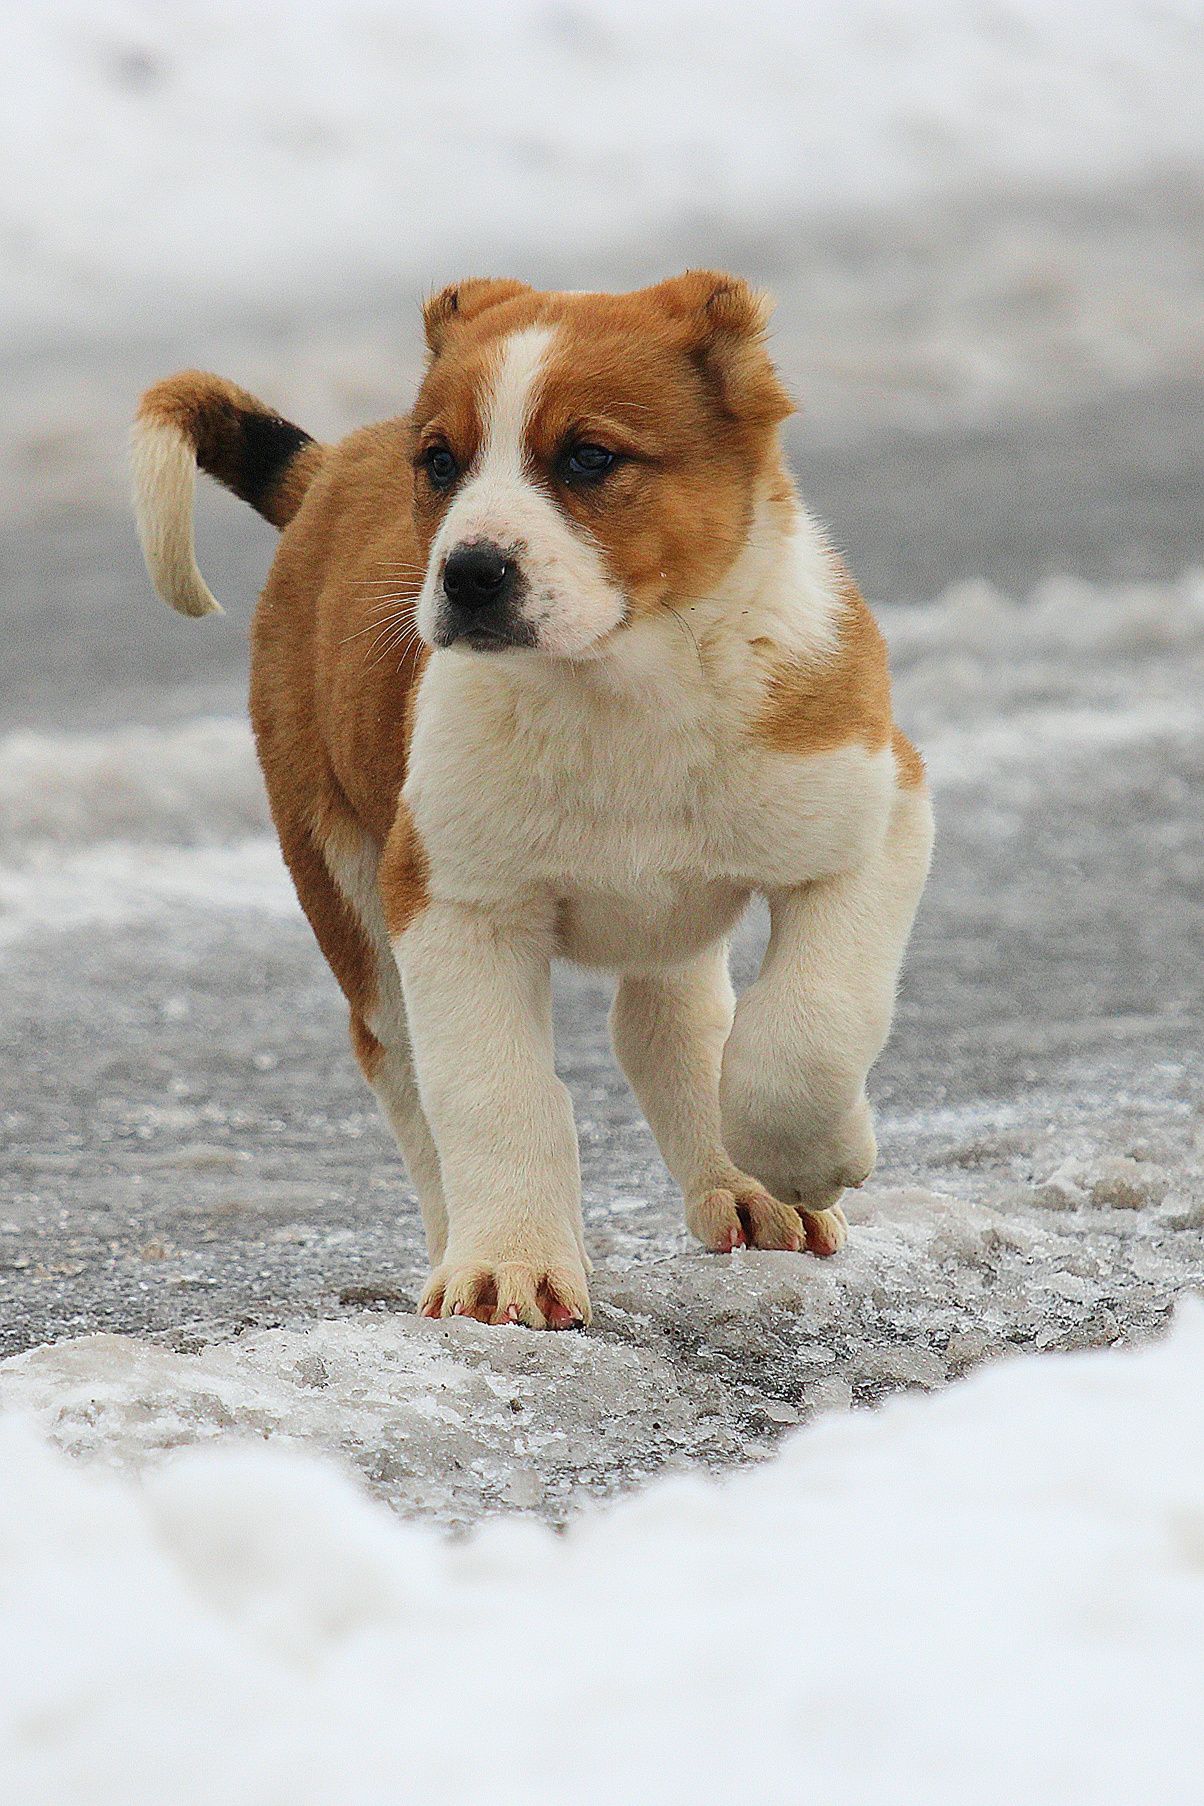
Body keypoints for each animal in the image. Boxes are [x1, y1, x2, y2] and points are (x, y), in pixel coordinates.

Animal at [136, 274, 938, 1336]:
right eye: (441, 462)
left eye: (590, 457)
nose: (469, 572)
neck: (620, 689)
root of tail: (332, 466)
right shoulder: (453, 904)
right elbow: (495, 1092)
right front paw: (506, 1268)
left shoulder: (874, 816)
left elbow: (805, 1026)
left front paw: (808, 1161)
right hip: (349, 895)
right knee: (412, 1076)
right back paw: (459, 1249)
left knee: (672, 1024)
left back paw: (741, 1187)